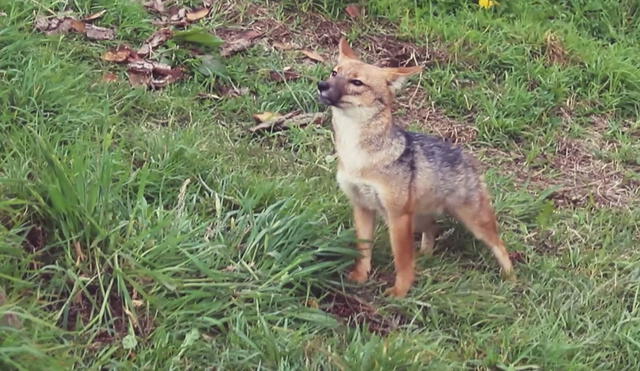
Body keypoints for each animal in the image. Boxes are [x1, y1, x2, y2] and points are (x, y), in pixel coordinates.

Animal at [316, 38, 516, 300]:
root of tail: (466, 155)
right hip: (419, 219)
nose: (321, 85)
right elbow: (363, 249)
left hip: (474, 222)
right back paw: (426, 255)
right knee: (433, 227)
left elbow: (402, 260)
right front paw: (360, 277)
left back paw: (512, 279)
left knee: (500, 245)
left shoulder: (397, 216)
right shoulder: (362, 207)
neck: (358, 158)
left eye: (356, 82)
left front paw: (400, 292)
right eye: (334, 72)